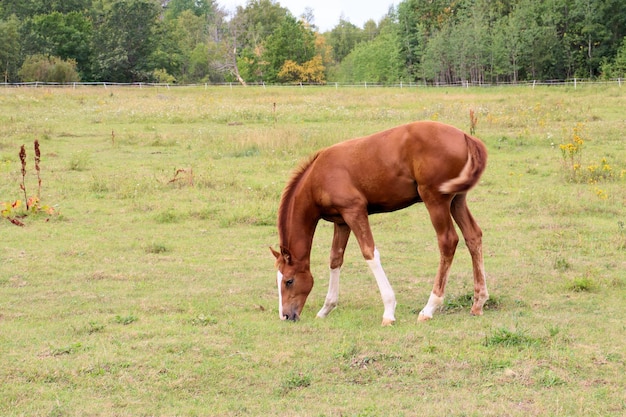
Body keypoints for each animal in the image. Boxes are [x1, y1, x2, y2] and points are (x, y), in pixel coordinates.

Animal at [268, 120, 488, 324]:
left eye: (289, 281)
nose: (285, 315)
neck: (319, 176)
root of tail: (465, 137)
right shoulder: (342, 221)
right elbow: (335, 258)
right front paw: (326, 308)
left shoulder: (355, 211)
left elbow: (370, 253)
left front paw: (389, 311)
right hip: (457, 200)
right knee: (473, 236)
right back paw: (478, 302)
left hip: (435, 200)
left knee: (448, 241)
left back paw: (429, 308)